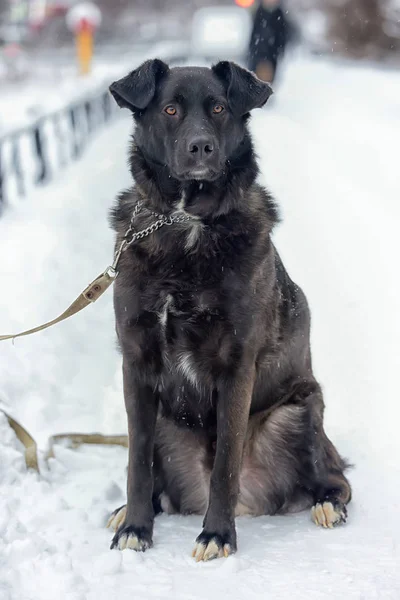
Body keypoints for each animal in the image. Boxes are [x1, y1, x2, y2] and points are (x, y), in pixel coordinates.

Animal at [106, 59, 350, 564]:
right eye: (171, 109)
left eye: (218, 108)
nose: (201, 146)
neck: (184, 223)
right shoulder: (136, 363)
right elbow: (136, 461)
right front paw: (137, 527)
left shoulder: (237, 366)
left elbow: (226, 464)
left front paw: (217, 535)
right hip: (164, 419)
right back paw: (131, 512)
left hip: (300, 409)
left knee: (337, 477)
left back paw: (327, 505)